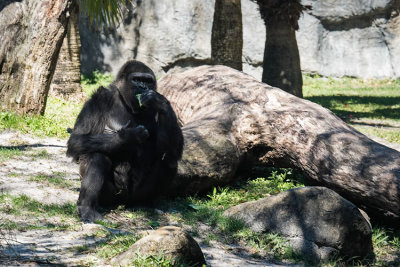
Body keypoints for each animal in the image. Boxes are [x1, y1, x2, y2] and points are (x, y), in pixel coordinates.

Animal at [66, 60, 184, 222]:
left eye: (148, 81)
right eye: (137, 79)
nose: (143, 87)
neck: (125, 100)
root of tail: (125, 203)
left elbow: (172, 149)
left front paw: (160, 102)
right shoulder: (98, 99)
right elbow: (77, 140)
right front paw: (128, 137)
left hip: (135, 195)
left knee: (169, 160)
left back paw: (145, 202)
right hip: (112, 197)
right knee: (96, 155)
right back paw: (86, 206)